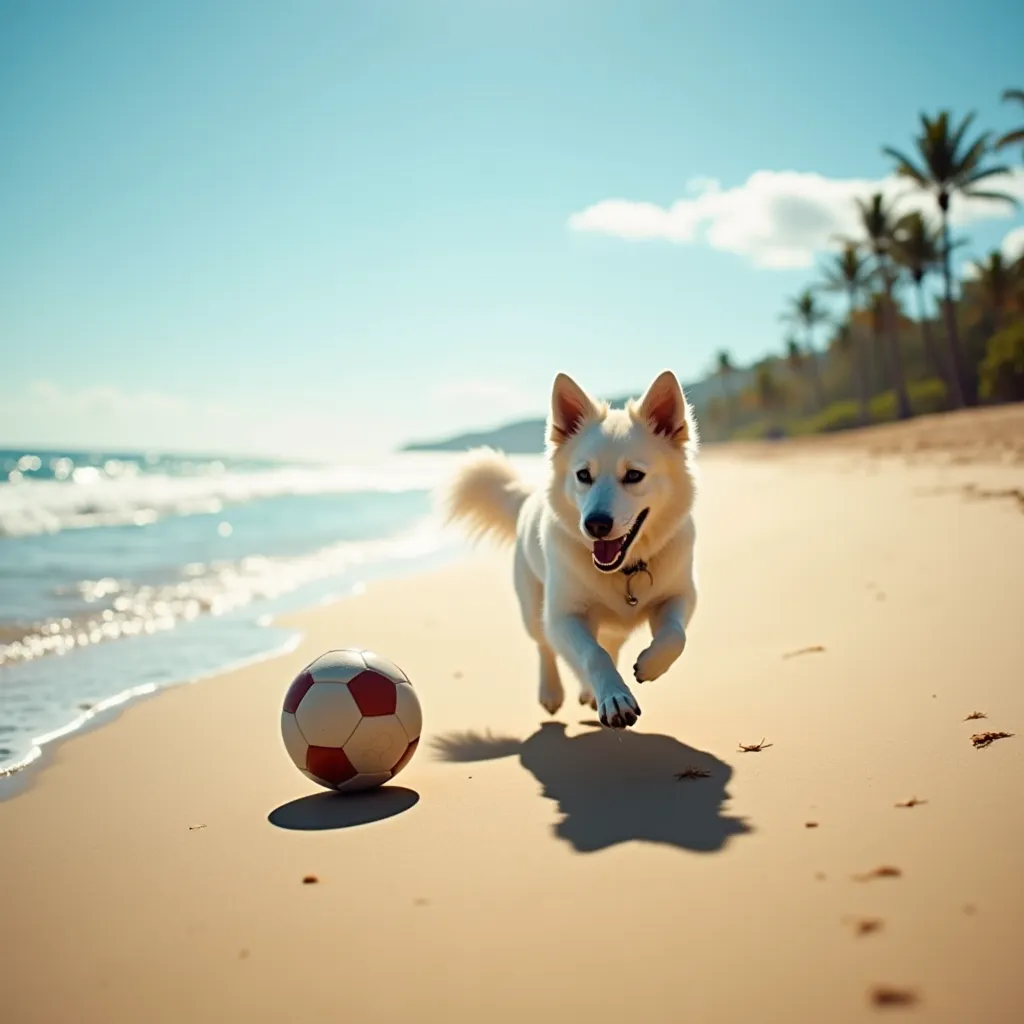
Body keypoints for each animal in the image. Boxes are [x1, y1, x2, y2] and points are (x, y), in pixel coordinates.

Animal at [444, 368, 700, 729]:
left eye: (634, 475)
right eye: (584, 475)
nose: (595, 525)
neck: (625, 568)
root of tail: (527, 499)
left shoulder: (680, 596)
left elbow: (675, 635)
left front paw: (651, 664)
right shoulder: (563, 616)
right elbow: (592, 655)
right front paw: (614, 697)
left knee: (610, 643)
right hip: (533, 611)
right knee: (546, 646)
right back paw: (553, 691)